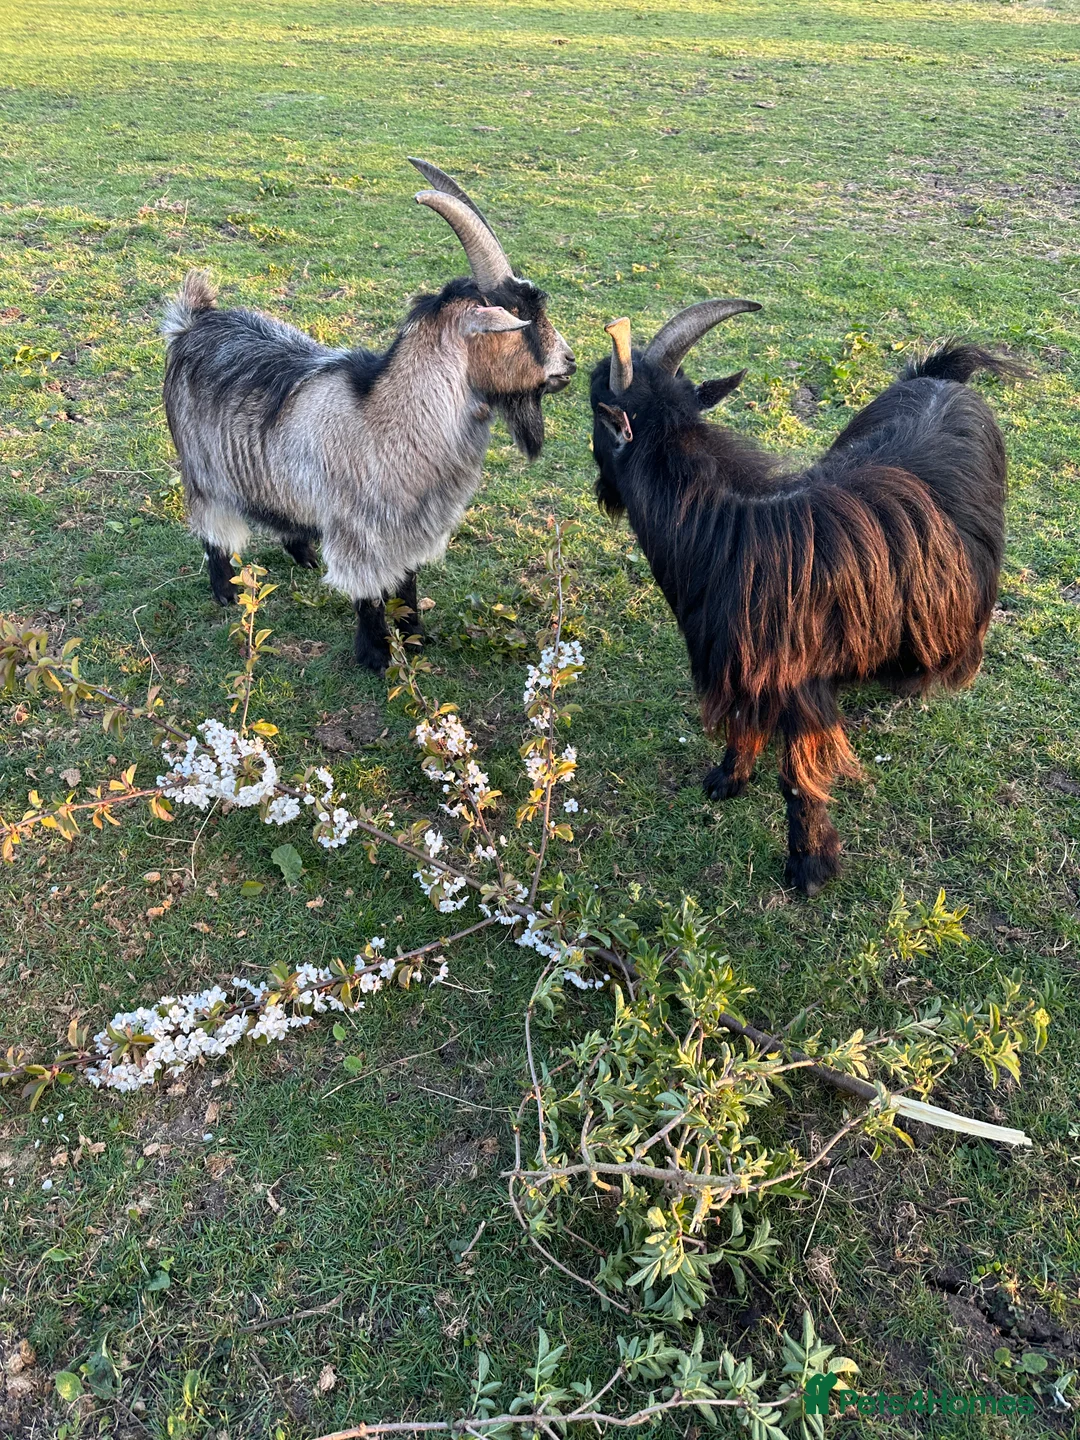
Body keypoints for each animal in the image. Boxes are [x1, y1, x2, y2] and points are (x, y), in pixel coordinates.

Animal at [162, 158, 576, 673]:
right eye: (519, 316)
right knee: (212, 529)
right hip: (202, 471)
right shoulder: (362, 533)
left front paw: (414, 636)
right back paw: (223, 591)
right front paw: (377, 655)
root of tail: (192, 322)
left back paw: (305, 555)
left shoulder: (409, 529)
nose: (569, 362)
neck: (386, 415)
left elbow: (406, 583)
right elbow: (370, 594)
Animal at [591, 303, 1018, 894]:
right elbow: (743, 727)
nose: (603, 492)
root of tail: (942, 374)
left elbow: (796, 778)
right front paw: (726, 779)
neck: (729, 535)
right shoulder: (745, 671)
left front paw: (810, 866)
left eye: (594, 414)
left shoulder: (796, 682)